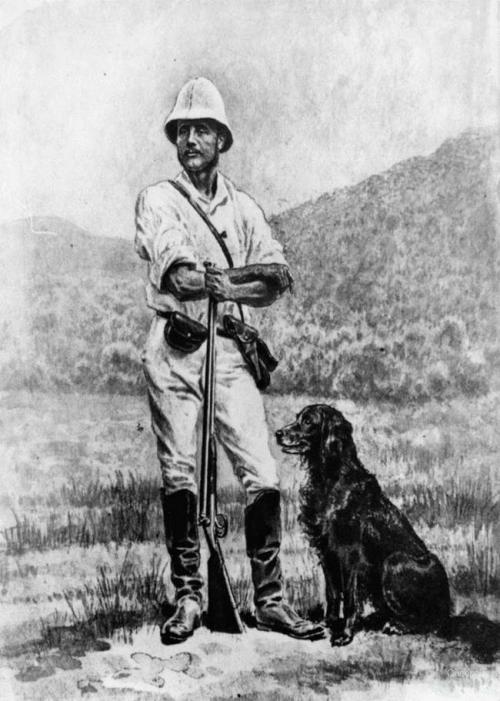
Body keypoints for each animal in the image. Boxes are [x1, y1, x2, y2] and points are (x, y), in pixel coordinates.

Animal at [274, 404, 454, 644]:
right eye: (297, 418)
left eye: (308, 421)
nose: (278, 433)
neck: (330, 478)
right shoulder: (326, 552)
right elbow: (332, 595)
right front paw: (329, 623)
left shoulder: (350, 554)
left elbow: (350, 599)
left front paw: (345, 634)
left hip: (395, 562)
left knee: (432, 620)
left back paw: (397, 625)